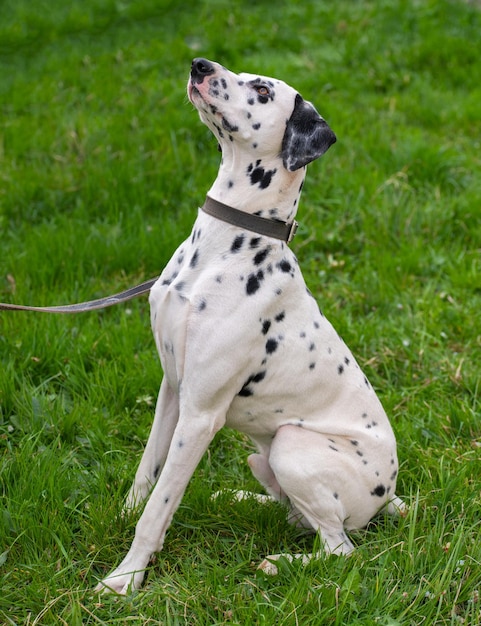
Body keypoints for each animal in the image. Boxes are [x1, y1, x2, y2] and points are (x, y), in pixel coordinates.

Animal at [95, 57, 404, 588]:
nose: (199, 64)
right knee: (295, 516)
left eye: (261, 90)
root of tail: (390, 496)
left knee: (340, 549)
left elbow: (159, 506)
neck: (221, 247)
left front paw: (126, 578)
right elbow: (146, 473)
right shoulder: (172, 388)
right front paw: (120, 516)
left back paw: (278, 563)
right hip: (263, 457)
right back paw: (237, 497)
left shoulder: (201, 414)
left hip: (291, 445)